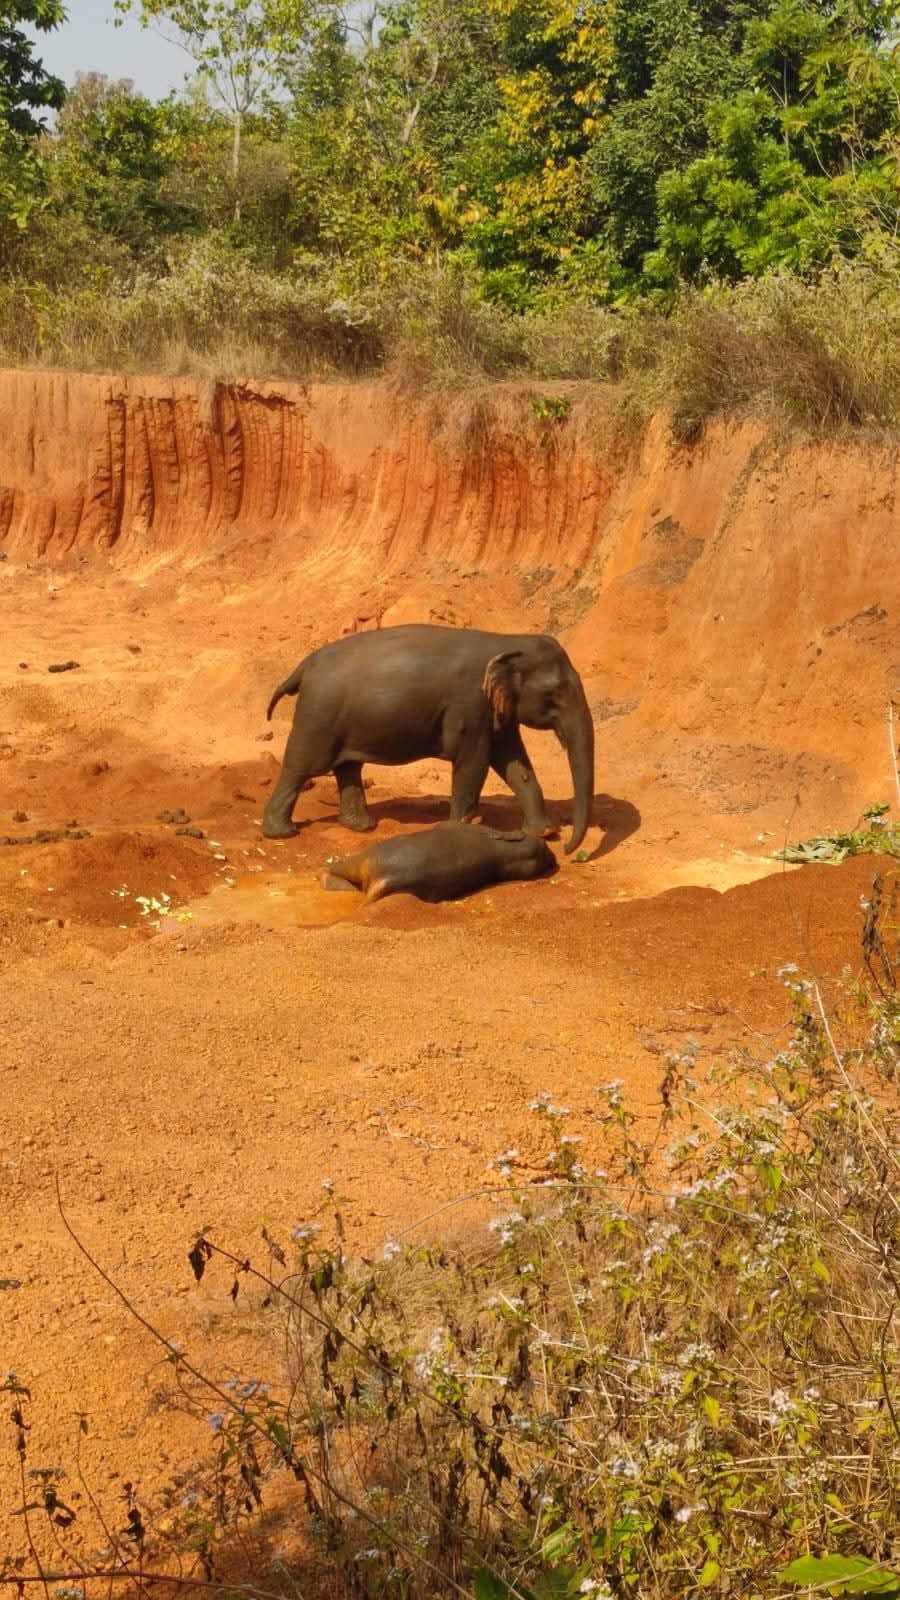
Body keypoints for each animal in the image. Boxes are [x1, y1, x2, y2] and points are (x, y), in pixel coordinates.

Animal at [261, 624, 595, 857]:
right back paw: (282, 833)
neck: (507, 641)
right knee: (301, 767)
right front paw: (456, 830)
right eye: (556, 695)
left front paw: (544, 832)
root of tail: (303, 666)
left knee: (348, 767)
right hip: (318, 715)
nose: (569, 849)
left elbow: (514, 763)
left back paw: (363, 827)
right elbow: (474, 762)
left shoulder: (496, 711)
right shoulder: (469, 705)